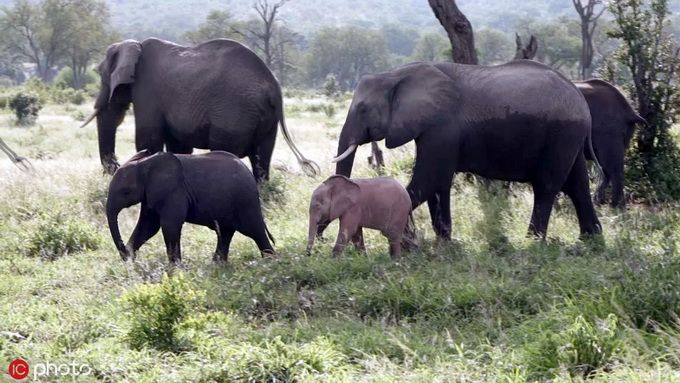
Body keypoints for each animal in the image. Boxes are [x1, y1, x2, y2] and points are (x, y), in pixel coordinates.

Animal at [82, 37, 318, 180]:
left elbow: (148, 141)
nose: (116, 166)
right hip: (266, 120)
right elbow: (178, 146)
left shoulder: (147, 92)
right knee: (262, 158)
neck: (135, 45)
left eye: (102, 76)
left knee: (226, 153)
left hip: (234, 114)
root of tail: (275, 88)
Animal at [105, 149, 274, 264]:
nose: (125, 254)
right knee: (225, 233)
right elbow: (148, 226)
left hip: (245, 201)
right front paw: (130, 259)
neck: (145, 163)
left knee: (255, 231)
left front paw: (175, 269)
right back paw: (217, 265)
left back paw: (270, 262)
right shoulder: (151, 194)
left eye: (125, 191)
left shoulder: (173, 191)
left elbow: (169, 225)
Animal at [334, 60, 600, 238]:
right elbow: (438, 184)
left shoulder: (443, 128)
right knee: (578, 185)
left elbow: (429, 179)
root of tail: (581, 99)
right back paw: (591, 240)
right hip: (569, 136)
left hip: (561, 134)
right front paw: (444, 242)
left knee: (547, 186)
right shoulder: (432, 128)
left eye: (363, 109)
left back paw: (533, 241)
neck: (396, 74)